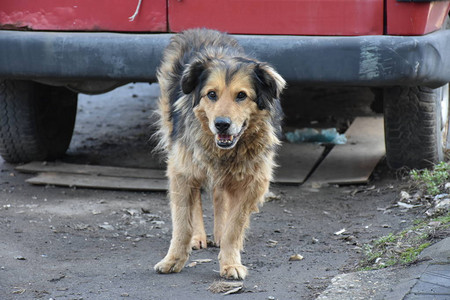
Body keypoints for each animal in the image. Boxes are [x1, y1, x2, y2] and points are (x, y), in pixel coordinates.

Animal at [153, 29, 284, 280]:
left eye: (241, 96)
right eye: (211, 94)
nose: (222, 124)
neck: (225, 151)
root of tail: (201, 30)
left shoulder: (253, 181)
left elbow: (234, 226)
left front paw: (230, 262)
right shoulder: (180, 171)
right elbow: (182, 223)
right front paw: (173, 259)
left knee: (220, 195)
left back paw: (219, 233)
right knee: (197, 200)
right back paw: (198, 237)